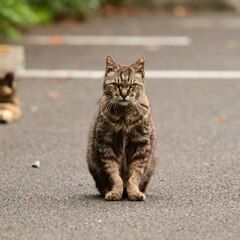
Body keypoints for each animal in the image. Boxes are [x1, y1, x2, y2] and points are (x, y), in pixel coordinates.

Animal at [87, 56, 157, 201]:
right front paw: (115, 192)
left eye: (132, 85)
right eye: (116, 85)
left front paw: (134, 192)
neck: (124, 116)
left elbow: (135, 174)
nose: (124, 94)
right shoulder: (106, 144)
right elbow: (114, 174)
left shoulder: (142, 144)